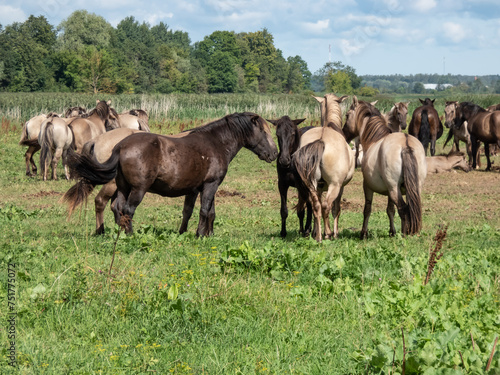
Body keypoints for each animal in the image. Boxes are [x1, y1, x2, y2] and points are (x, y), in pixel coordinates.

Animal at [62, 111, 278, 236]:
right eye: (264, 132)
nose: (274, 154)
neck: (215, 142)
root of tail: (120, 146)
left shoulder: (199, 188)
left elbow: (198, 211)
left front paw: (195, 233)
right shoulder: (210, 185)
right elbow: (204, 210)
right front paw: (200, 235)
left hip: (123, 187)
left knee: (119, 208)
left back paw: (120, 232)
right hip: (136, 189)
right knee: (124, 209)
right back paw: (127, 235)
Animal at [342, 97, 428, 238]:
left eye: (347, 115)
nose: (344, 135)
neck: (374, 139)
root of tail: (405, 145)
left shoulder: (368, 186)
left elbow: (367, 209)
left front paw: (363, 233)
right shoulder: (389, 192)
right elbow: (390, 210)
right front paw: (392, 231)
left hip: (394, 189)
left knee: (403, 209)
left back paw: (404, 234)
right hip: (413, 188)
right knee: (411, 208)